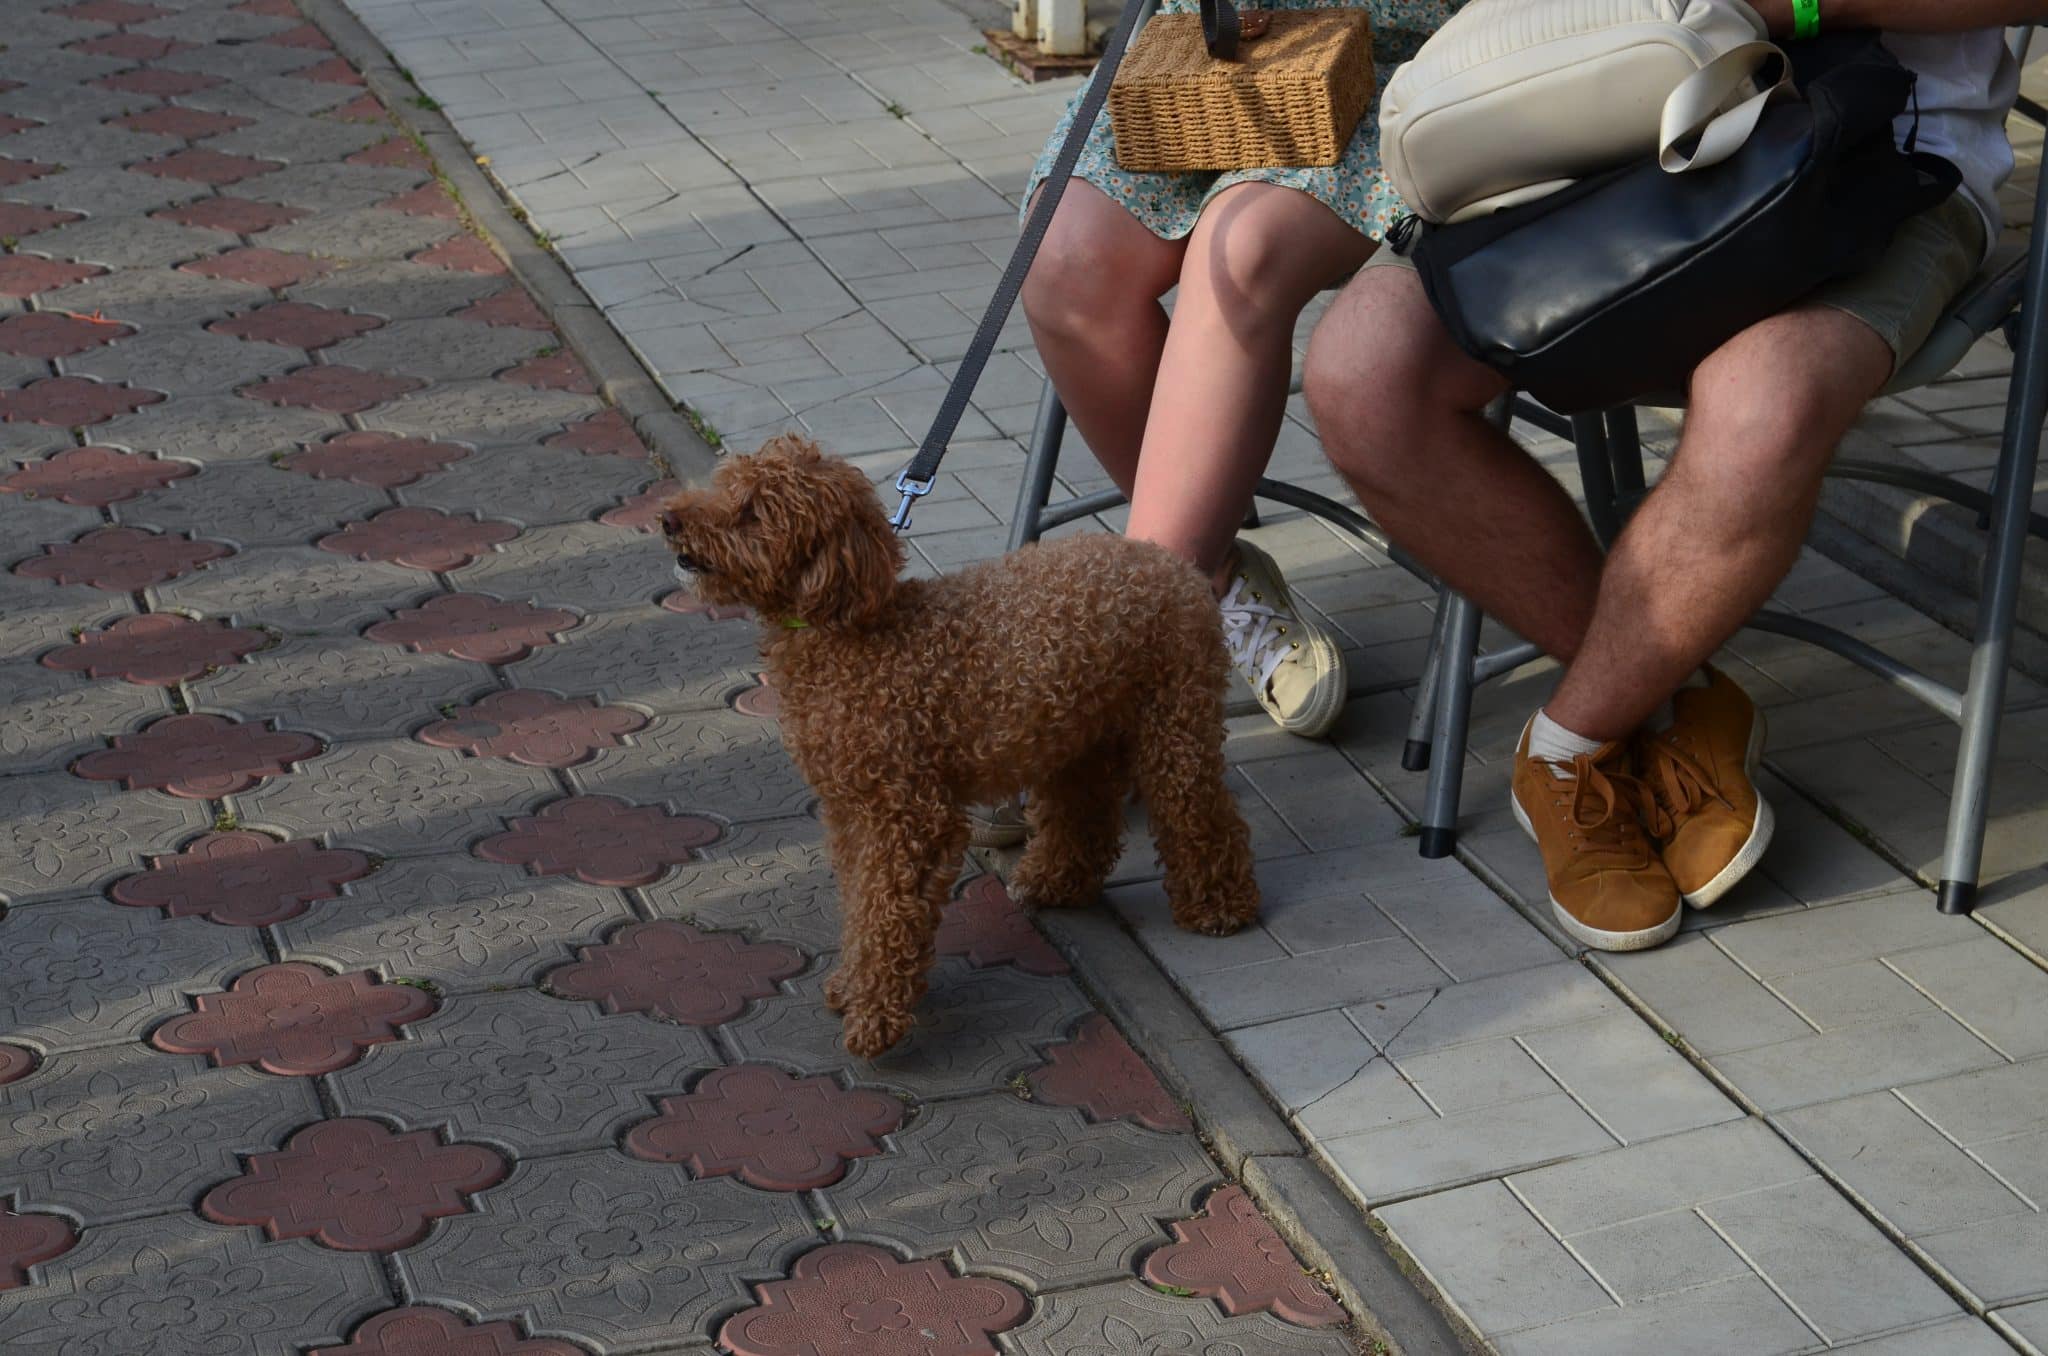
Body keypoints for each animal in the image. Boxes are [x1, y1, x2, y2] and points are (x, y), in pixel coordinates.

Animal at [663, 436, 1253, 1065]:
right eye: (724, 488)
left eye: (753, 511)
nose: (669, 520)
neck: (852, 630)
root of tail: (1172, 565)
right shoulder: (851, 813)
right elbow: (860, 902)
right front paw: (851, 985)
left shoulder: (909, 815)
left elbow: (887, 912)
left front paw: (876, 1015)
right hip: (1081, 738)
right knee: (1087, 817)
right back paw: (1058, 883)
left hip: (1174, 726)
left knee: (1201, 815)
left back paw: (1220, 906)